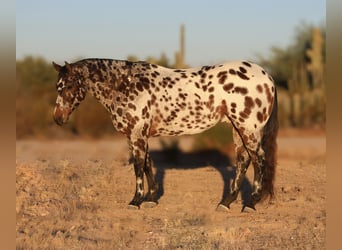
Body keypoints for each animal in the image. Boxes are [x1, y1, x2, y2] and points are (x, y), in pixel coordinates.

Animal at [51, 58, 278, 211]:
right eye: (57, 87)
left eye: (69, 85)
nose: (58, 118)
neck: (126, 84)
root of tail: (266, 75)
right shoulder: (137, 136)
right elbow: (148, 164)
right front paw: (151, 199)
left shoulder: (137, 135)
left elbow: (138, 167)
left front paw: (136, 201)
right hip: (237, 129)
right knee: (243, 160)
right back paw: (225, 202)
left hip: (248, 129)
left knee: (259, 160)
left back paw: (250, 203)